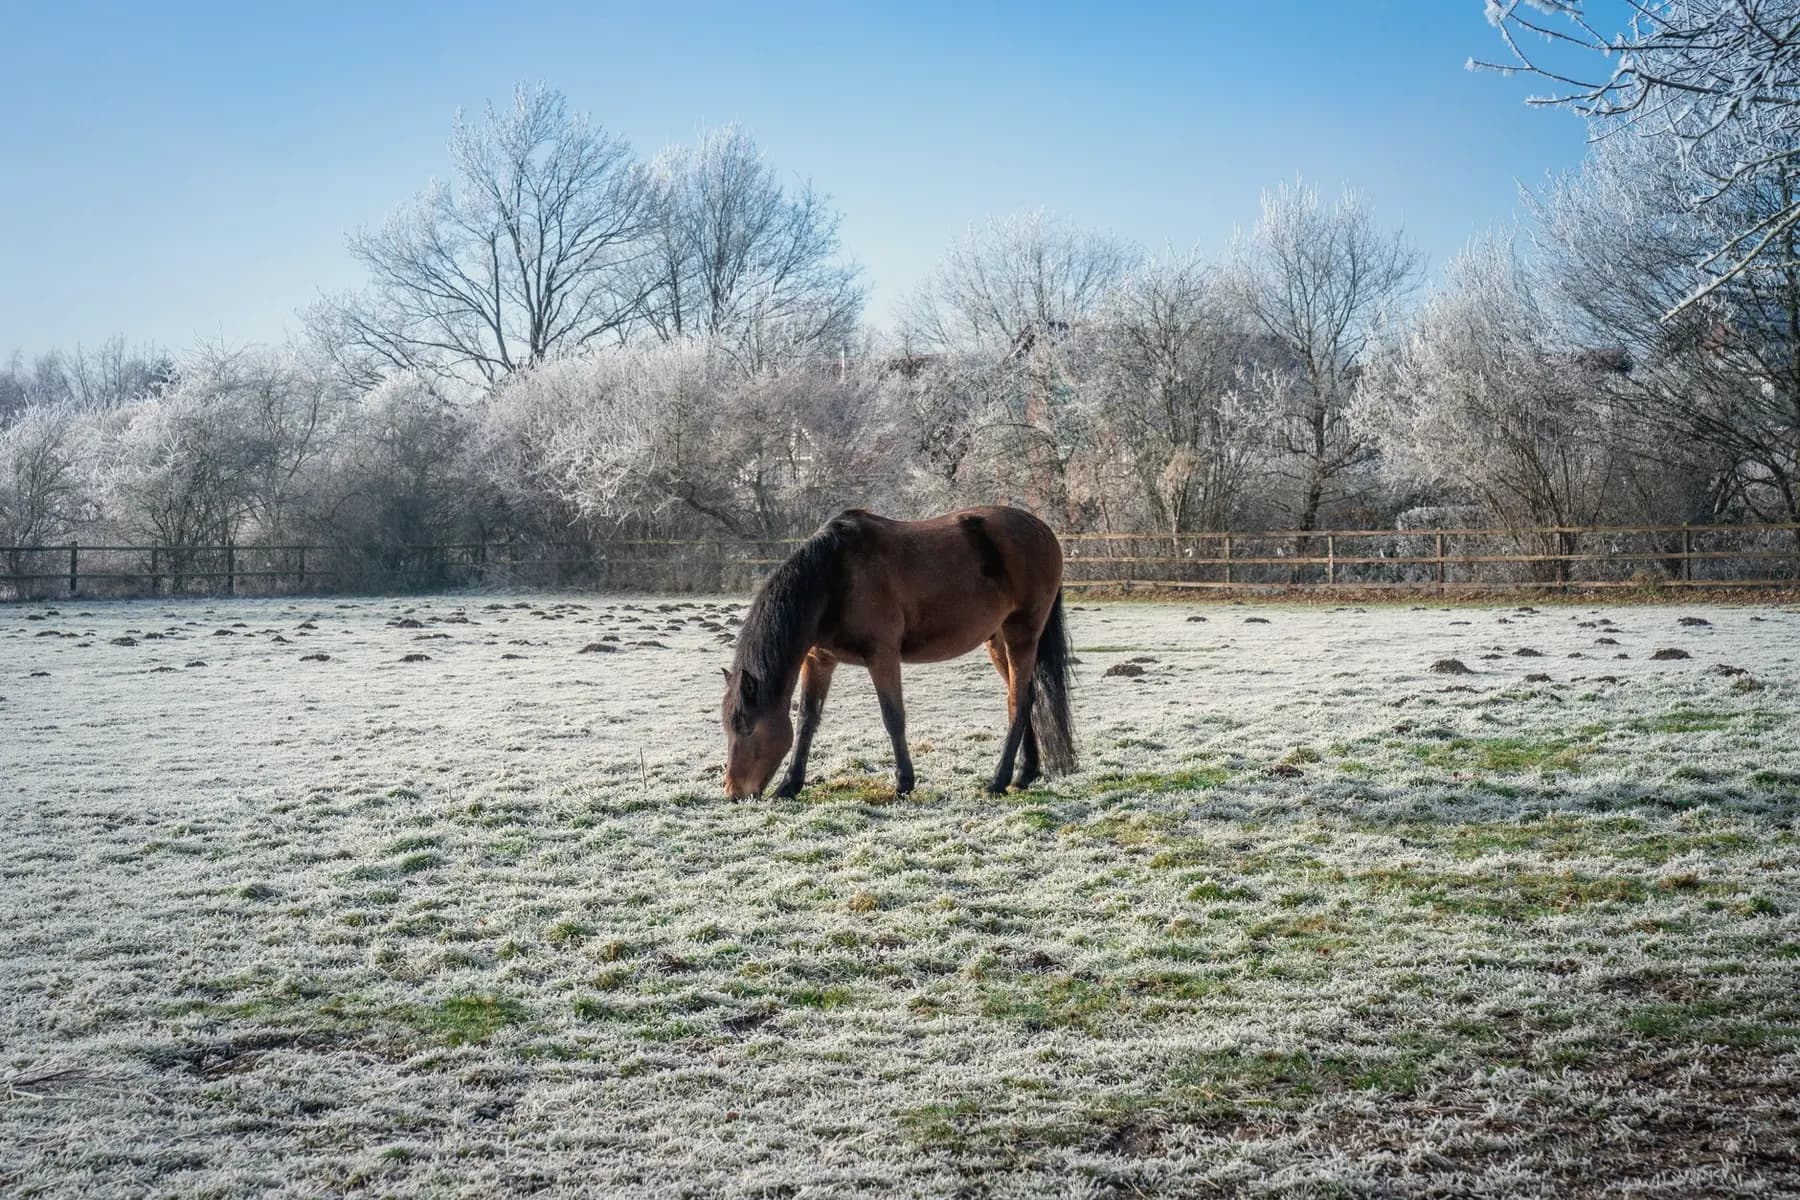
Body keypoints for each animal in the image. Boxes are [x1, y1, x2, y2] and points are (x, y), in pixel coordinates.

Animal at [720, 506, 1077, 799]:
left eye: (746, 727)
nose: (734, 793)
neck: (835, 575)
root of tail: (1043, 530)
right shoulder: (819, 659)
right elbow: (807, 719)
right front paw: (789, 785)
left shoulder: (882, 655)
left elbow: (893, 717)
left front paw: (904, 782)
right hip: (997, 639)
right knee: (1028, 697)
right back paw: (1024, 774)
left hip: (1022, 635)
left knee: (1017, 702)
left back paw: (998, 781)